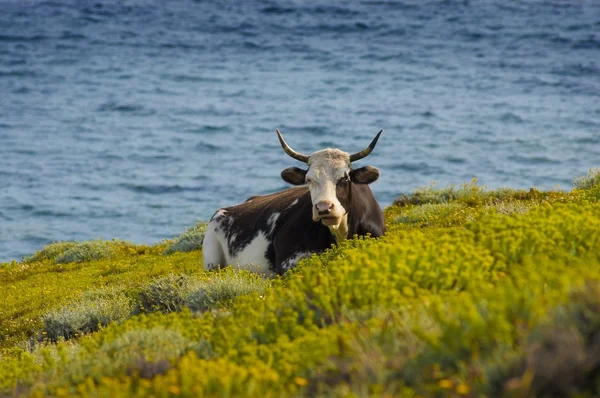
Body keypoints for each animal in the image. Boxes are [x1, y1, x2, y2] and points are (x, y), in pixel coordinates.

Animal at [202, 129, 384, 276]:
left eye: (344, 178)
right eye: (308, 179)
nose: (323, 207)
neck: (340, 232)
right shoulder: (287, 260)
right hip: (212, 260)